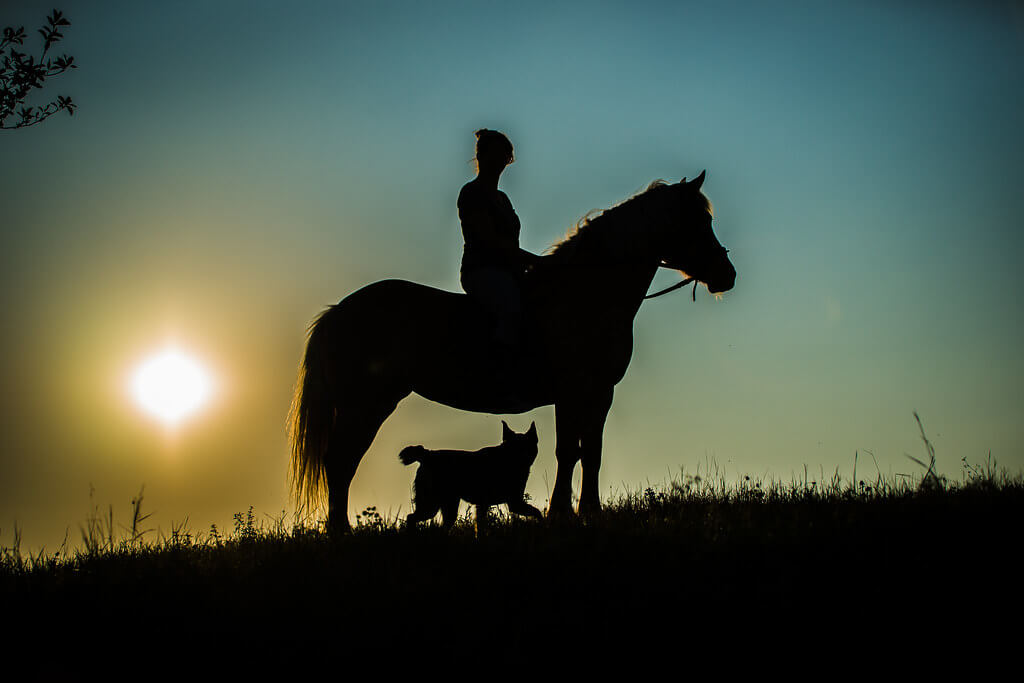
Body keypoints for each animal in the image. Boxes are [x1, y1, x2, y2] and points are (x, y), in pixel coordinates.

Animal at [399, 419, 544, 532]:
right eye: (513, 448)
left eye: (527, 447)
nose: (522, 459)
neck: (504, 461)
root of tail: (427, 454)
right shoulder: (512, 503)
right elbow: (538, 513)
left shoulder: (503, 503)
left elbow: (480, 527)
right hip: (431, 504)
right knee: (411, 518)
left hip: (448, 506)